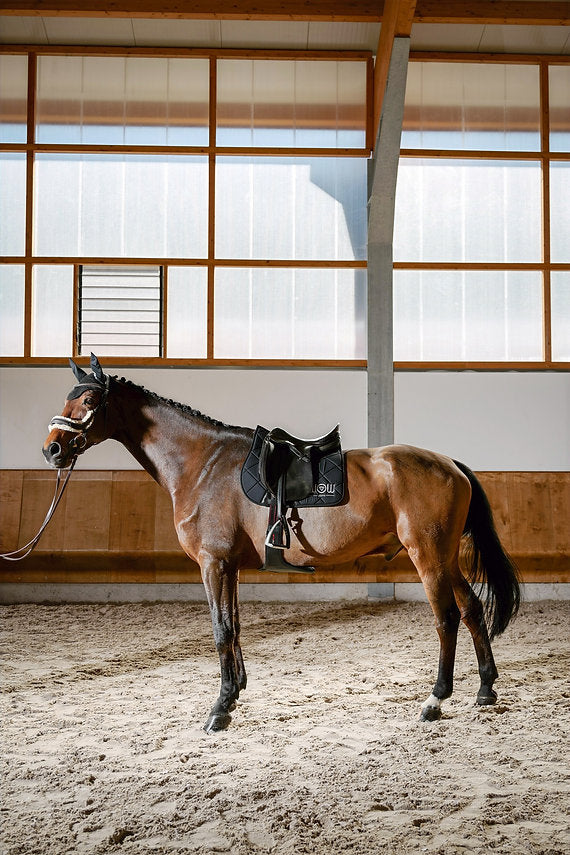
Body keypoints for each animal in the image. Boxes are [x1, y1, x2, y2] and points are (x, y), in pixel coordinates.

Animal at [42, 354, 520, 733]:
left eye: (88, 401)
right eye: (68, 397)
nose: (52, 450)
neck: (202, 464)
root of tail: (449, 463)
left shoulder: (212, 564)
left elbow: (220, 630)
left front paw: (219, 710)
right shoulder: (229, 567)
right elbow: (234, 627)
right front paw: (234, 693)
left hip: (427, 556)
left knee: (447, 619)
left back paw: (435, 700)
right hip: (445, 558)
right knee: (472, 610)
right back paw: (484, 688)